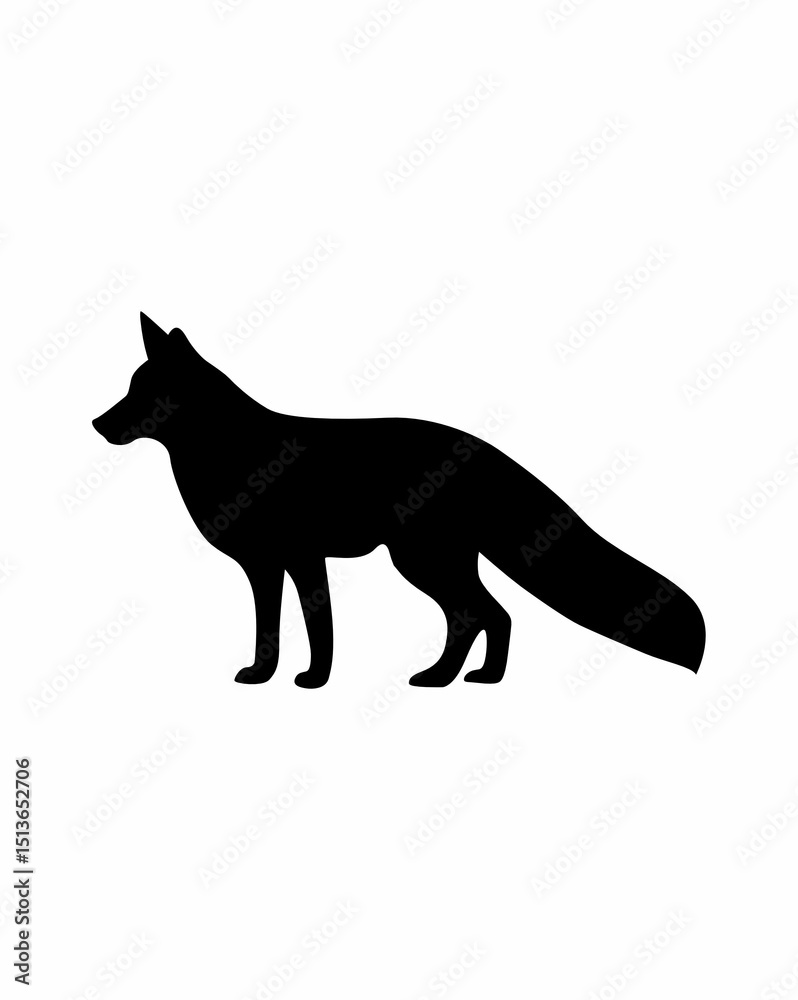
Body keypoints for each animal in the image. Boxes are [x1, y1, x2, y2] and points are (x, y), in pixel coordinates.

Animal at [92, 313, 705, 688]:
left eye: (144, 391)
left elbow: (315, 625)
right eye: (130, 386)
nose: (97, 424)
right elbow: (276, 628)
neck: (230, 448)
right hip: (435, 561)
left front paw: (312, 680)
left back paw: (451, 678)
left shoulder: (297, 559)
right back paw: (465, 678)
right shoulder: (270, 566)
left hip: (421, 560)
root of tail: (480, 450)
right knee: (487, 615)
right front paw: (266, 675)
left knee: (482, 614)